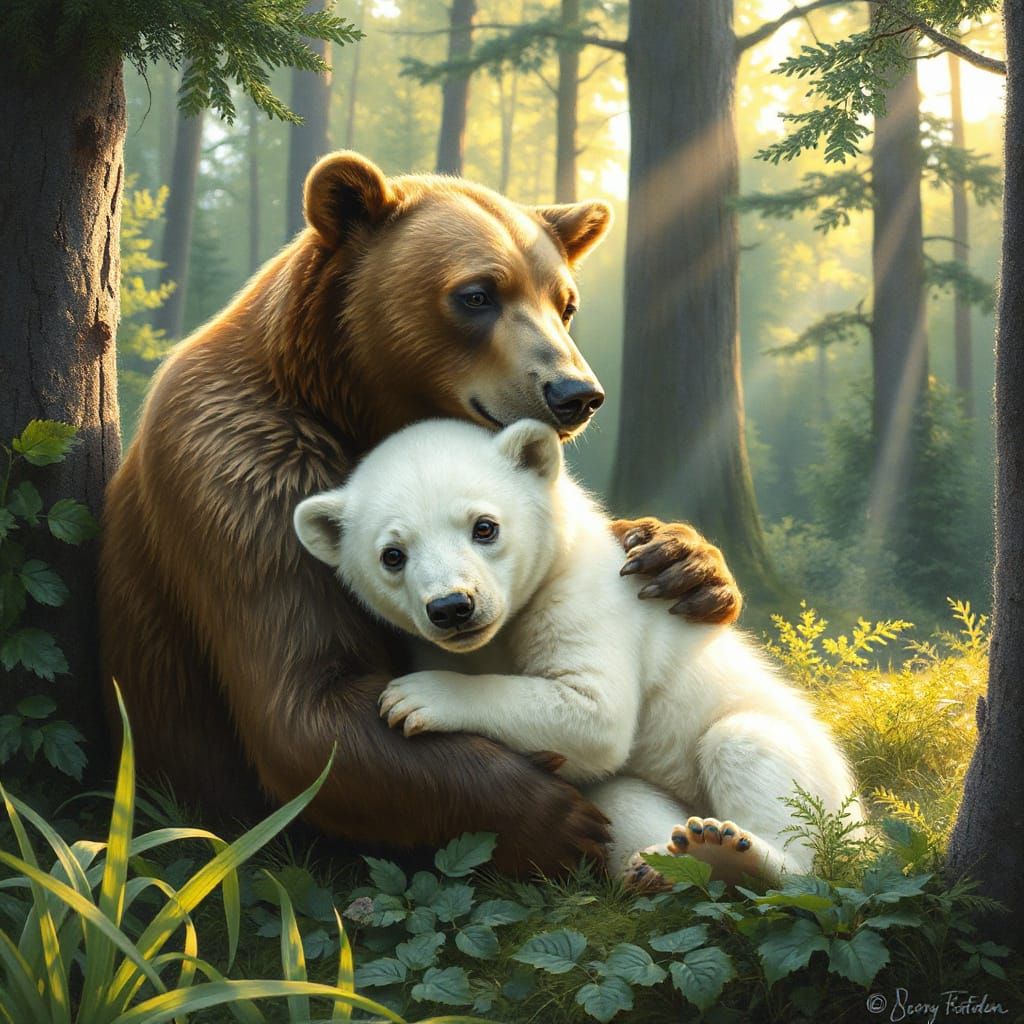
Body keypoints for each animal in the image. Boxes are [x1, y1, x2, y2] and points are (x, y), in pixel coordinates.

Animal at [98, 150, 743, 877]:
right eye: (477, 294)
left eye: (565, 303)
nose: (576, 393)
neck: (350, 402)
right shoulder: (243, 472)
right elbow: (308, 703)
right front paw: (559, 819)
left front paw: (681, 561)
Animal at [293, 417, 862, 884]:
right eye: (392, 555)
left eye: (484, 526)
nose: (453, 607)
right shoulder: (432, 644)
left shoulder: (585, 595)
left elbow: (594, 712)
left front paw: (417, 699)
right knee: (622, 799)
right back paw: (664, 862)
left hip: (820, 786)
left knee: (748, 747)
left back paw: (738, 850)